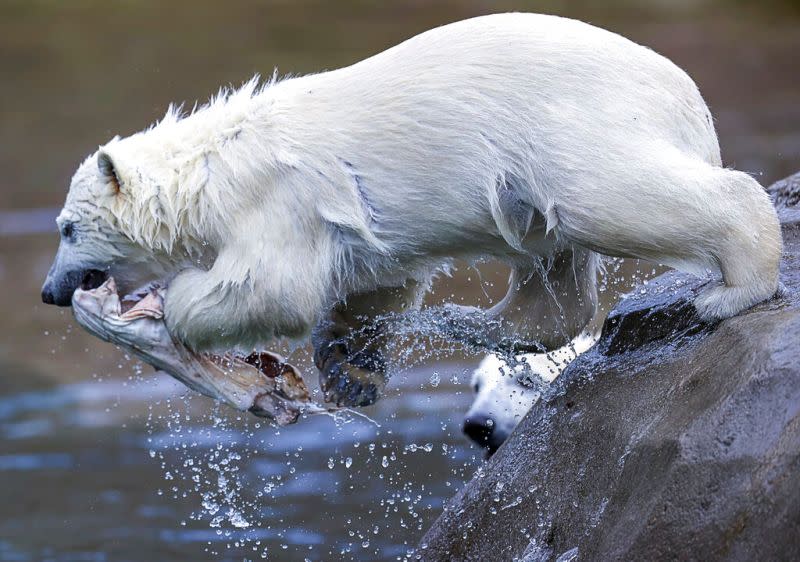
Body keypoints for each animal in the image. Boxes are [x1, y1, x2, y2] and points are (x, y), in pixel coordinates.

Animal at [39, 14, 780, 406]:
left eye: (67, 228)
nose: (49, 290)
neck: (213, 167)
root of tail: (690, 100)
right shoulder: (353, 227)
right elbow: (374, 280)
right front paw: (349, 365)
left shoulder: (278, 199)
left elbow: (272, 284)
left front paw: (170, 309)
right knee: (553, 271)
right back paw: (469, 320)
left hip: (573, 126)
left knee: (615, 198)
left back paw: (733, 289)